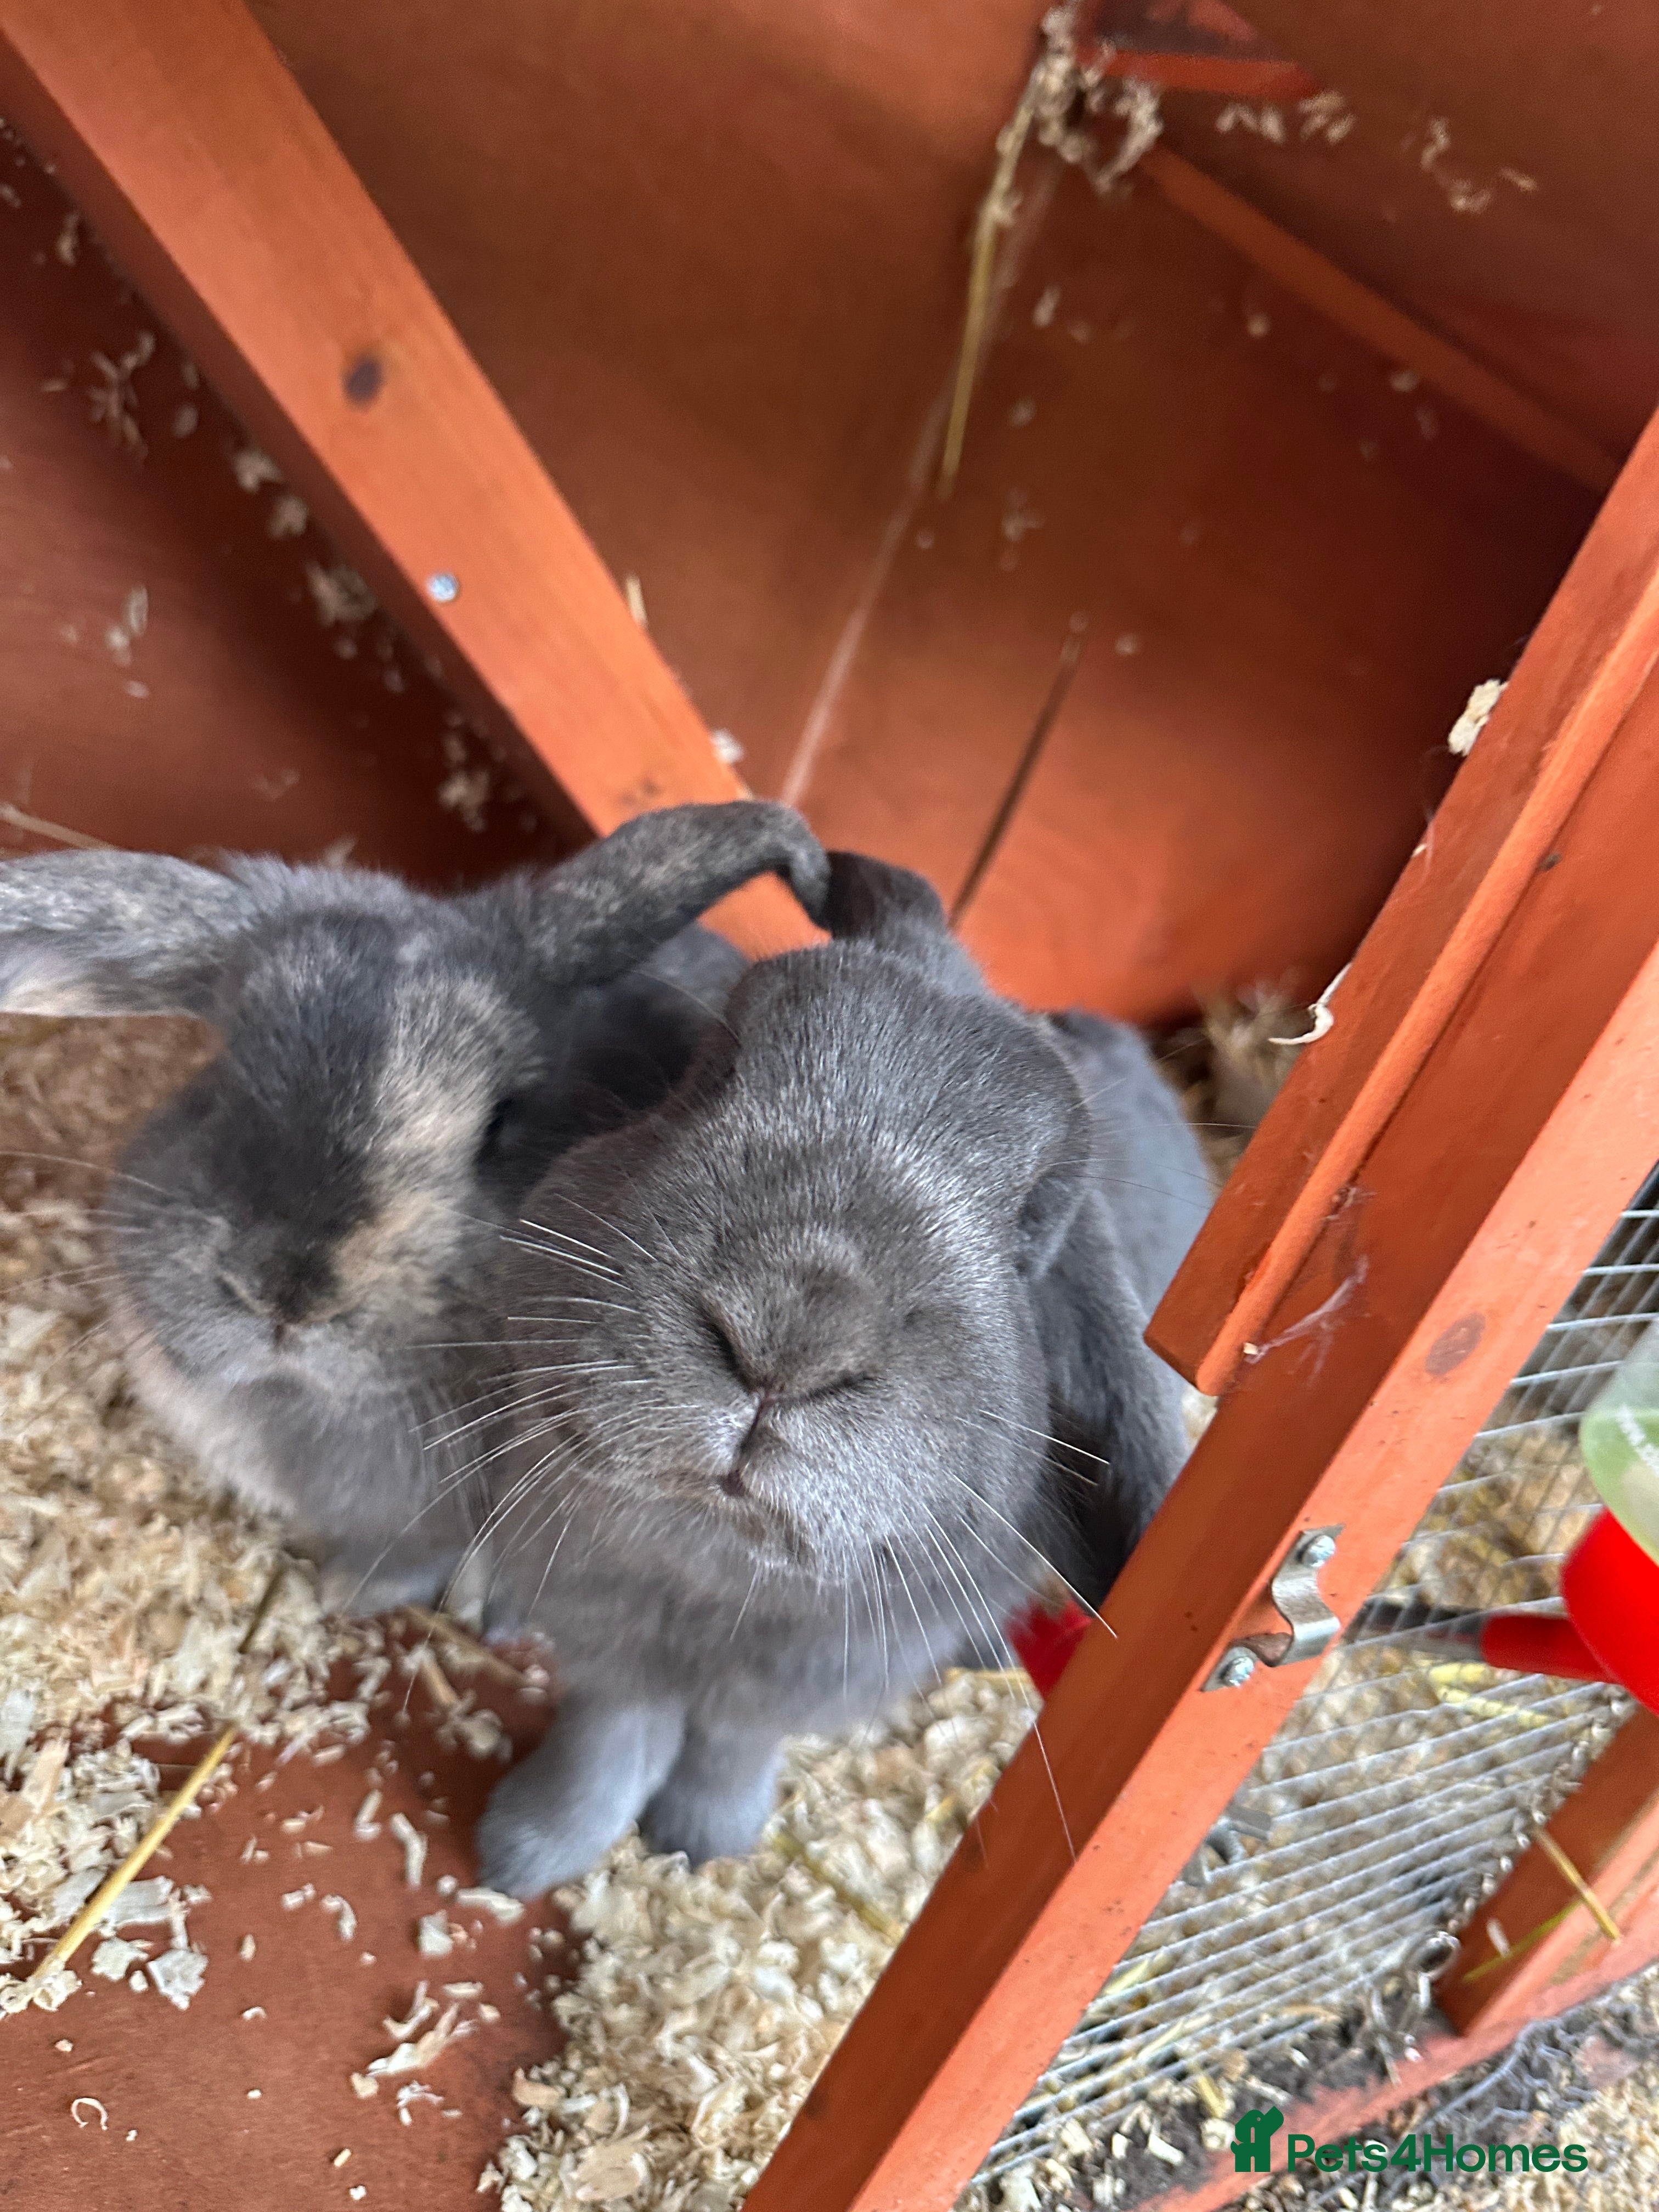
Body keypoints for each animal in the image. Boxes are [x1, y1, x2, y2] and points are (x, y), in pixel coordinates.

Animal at [473, 846, 1213, 1895]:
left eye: (1033, 1216)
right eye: (717, 1066)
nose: (789, 1339)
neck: (716, 1555)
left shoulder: (797, 1683)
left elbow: (730, 1744)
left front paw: (704, 1839)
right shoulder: (607, 1635)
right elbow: (610, 1734)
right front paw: (526, 1852)